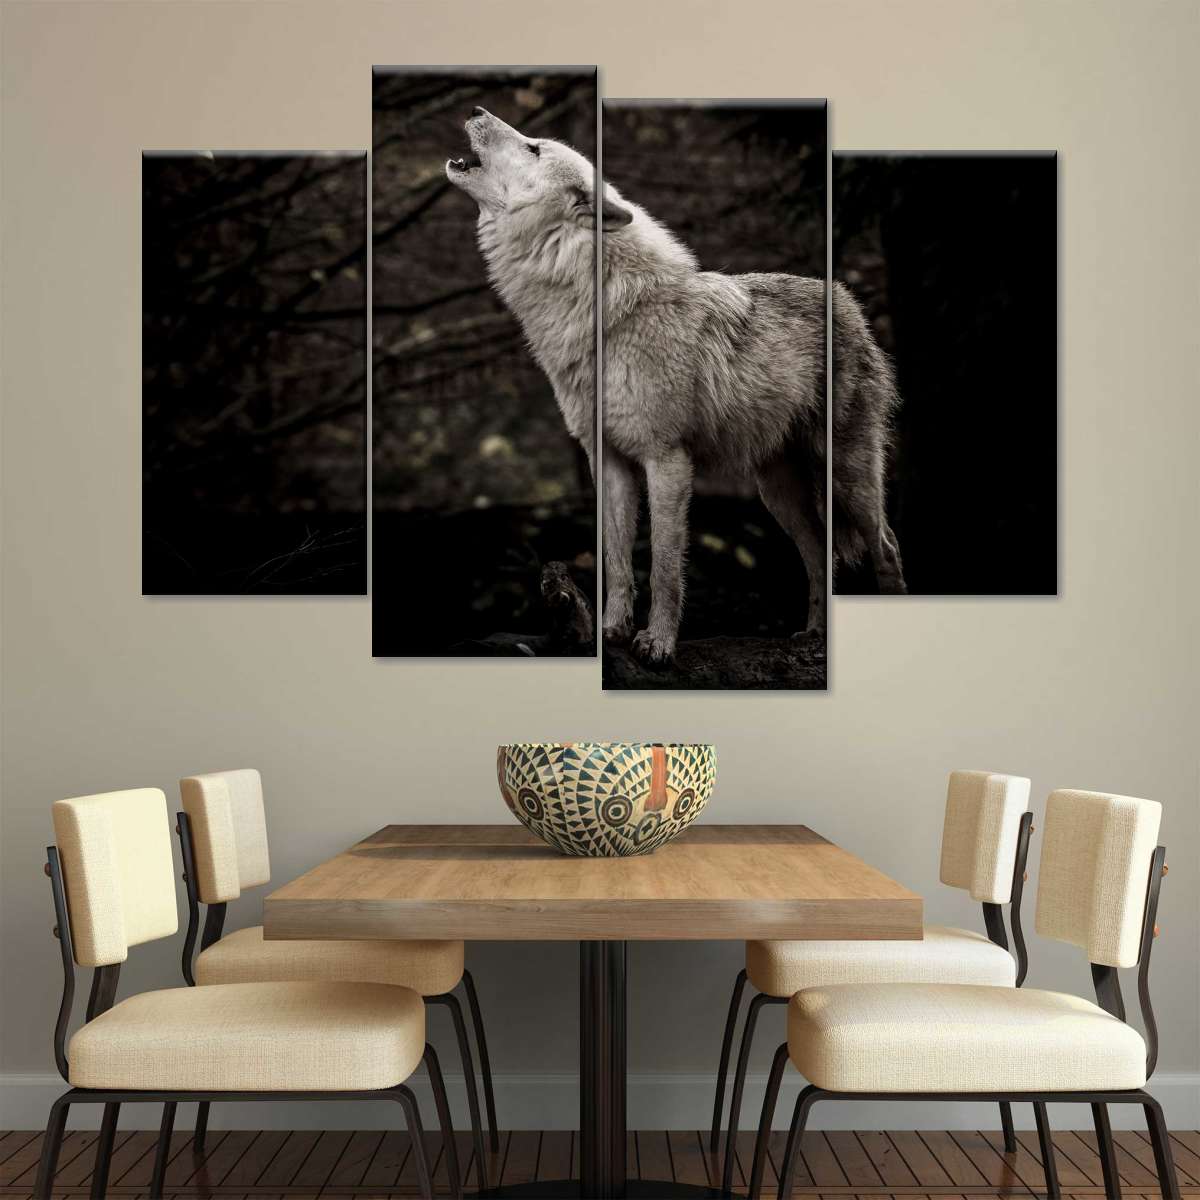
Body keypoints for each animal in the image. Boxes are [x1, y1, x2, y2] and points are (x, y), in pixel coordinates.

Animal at [447, 107, 905, 664]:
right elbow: (618, 563)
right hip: (777, 490)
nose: (476, 110)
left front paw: (658, 643)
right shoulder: (609, 460)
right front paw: (611, 632)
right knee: (819, 554)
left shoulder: (666, 460)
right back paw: (814, 634)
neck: (601, 312)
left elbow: (664, 566)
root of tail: (847, 300)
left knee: (886, 546)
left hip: (847, 475)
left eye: (534, 147)